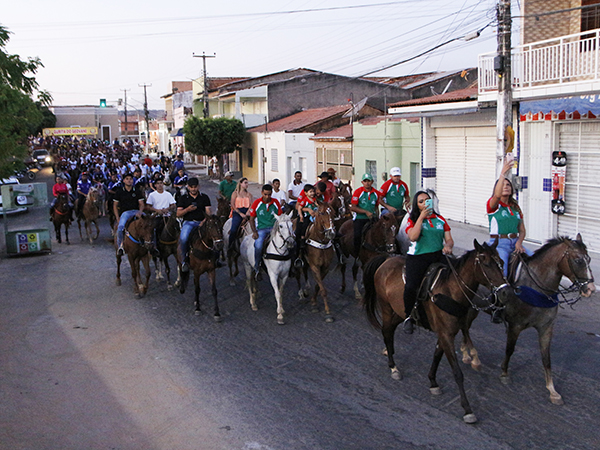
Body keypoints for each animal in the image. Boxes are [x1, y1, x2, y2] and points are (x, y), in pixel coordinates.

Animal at [360, 241, 510, 424]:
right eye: (486, 264)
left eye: (501, 262)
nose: (505, 292)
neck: (451, 290)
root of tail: (386, 260)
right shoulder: (446, 334)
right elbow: (457, 372)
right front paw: (467, 409)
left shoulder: (446, 333)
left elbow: (437, 356)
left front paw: (433, 382)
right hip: (387, 308)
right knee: (387, 333)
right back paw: (393, 366)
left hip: (400, 311)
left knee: (391, 330)